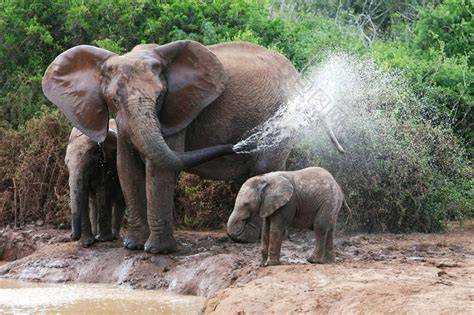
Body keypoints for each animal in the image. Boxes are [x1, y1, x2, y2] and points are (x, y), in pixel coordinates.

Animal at [66, 119, 127, 248]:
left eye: (90, 163)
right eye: (66, 164)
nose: (71, 235)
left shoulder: (106, 164)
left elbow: (102, 192)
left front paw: (104, 239)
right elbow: (84, 196)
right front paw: (87, 243)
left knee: (119, 200)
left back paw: (113, 236)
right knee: (94, 202)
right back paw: (96, 235)